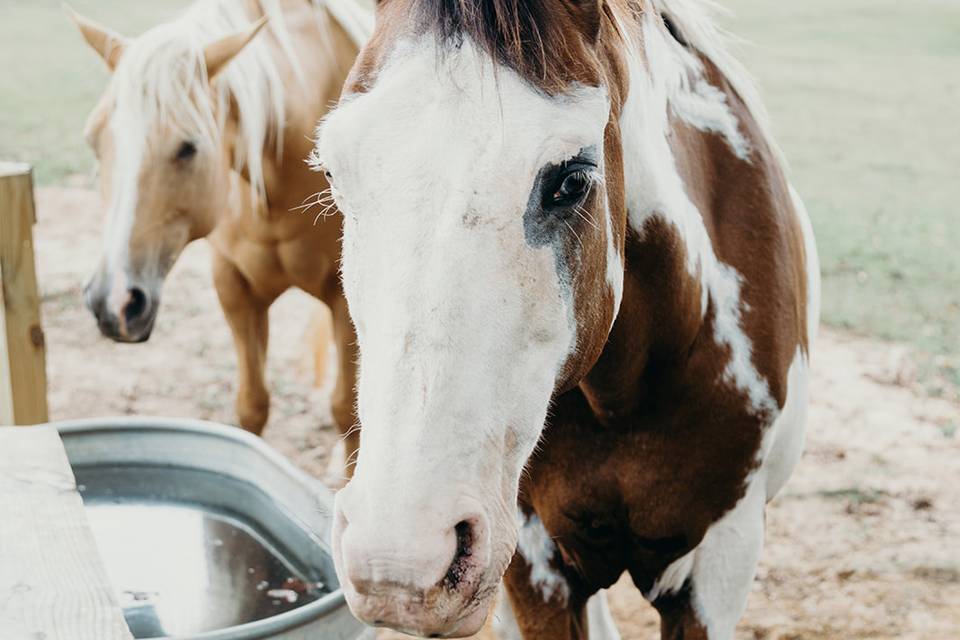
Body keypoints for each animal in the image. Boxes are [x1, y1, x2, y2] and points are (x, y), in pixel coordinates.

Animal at [70, 1, 372, 460]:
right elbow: (252, 405)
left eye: (188, 148)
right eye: (92, 141)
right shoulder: (234, 287)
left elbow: (346, 413)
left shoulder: (344, 303)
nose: (114, 303)